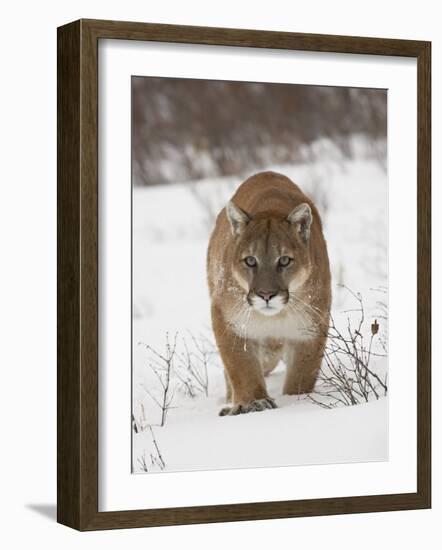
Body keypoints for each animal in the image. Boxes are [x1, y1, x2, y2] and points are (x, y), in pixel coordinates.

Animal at [207, 170, 332, 416]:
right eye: (250, 260)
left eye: (284, 260)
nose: (266, 295)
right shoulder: (227, 318)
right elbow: (241, 367)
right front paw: (254, 402)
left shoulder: (310, 328)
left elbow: (302, 374)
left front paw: (298, 400)